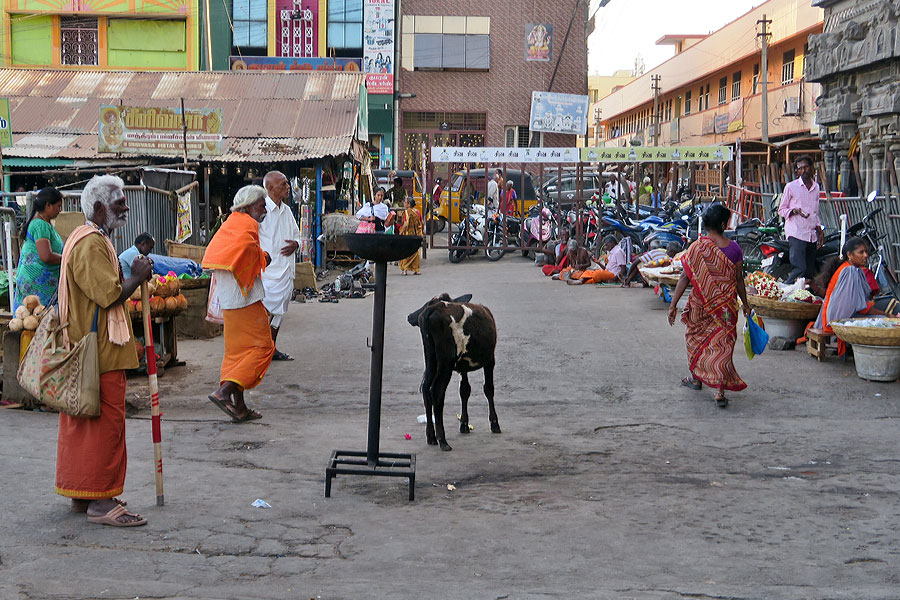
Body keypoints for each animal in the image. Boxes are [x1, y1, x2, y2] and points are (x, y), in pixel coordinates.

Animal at [406, 292, 500, 452]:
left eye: (425, 303)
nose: (410, 316)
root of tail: (434, 309)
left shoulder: (463, 368)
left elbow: (464, 391)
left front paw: (464, 424)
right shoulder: (490, 360)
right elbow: (489, 389)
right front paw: (494, 424)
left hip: (431, 360)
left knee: (425, 389)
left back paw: (431, 437)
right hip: (445, 363)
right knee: (436, 391)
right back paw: (442, 440)